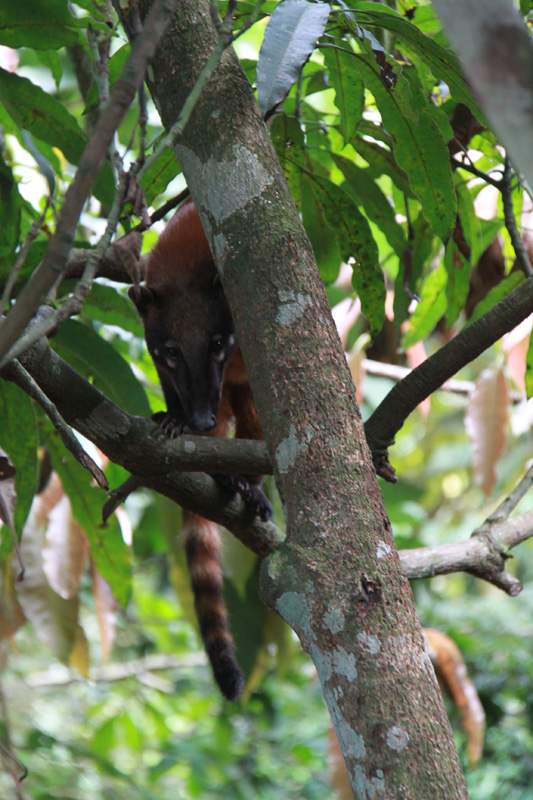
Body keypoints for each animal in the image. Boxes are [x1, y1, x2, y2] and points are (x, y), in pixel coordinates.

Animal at [129, 197, 271, 701]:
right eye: (171, 353)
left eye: (217, 343)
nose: (203, 422)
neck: (188, 268)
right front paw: (175, 420)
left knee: (254, 418)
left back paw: (248, 480)